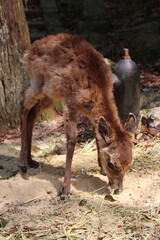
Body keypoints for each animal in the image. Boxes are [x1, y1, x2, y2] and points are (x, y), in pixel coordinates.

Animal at [19, 33, 136, 199]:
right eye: (111, 163)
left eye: (130, 164)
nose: (118, 189)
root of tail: (28, 51)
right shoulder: (70, 102)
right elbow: (72, 140)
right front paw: (65, 190)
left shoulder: (91, 114)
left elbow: (97, 136)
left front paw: (101, 170)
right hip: (38, 82)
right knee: (22, 104)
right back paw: (23, 164)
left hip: (51, 93)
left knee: (32, 112)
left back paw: (31, 160)